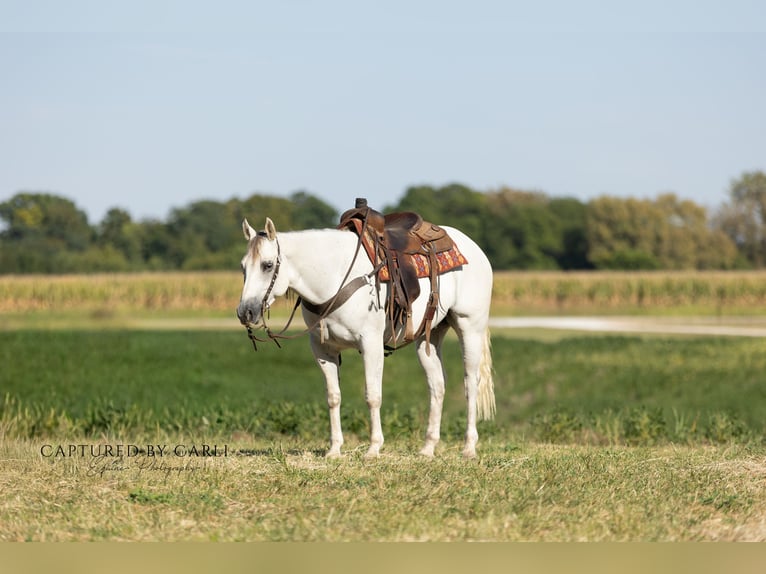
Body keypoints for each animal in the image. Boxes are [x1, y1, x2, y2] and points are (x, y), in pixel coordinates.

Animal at [236, 215, 495, 459]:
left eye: (268, 265)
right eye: (243, 267)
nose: (245, 312)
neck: (335, 277)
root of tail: (474, 248)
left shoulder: (370, 343)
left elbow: (373, 395)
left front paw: (373, 448)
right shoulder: (322, 349)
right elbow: (333, 397)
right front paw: (334, 449)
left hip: (469, 327)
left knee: (470, 383)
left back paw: (469, 447)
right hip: (428, 338)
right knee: (437, 384)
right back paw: (428, 448)